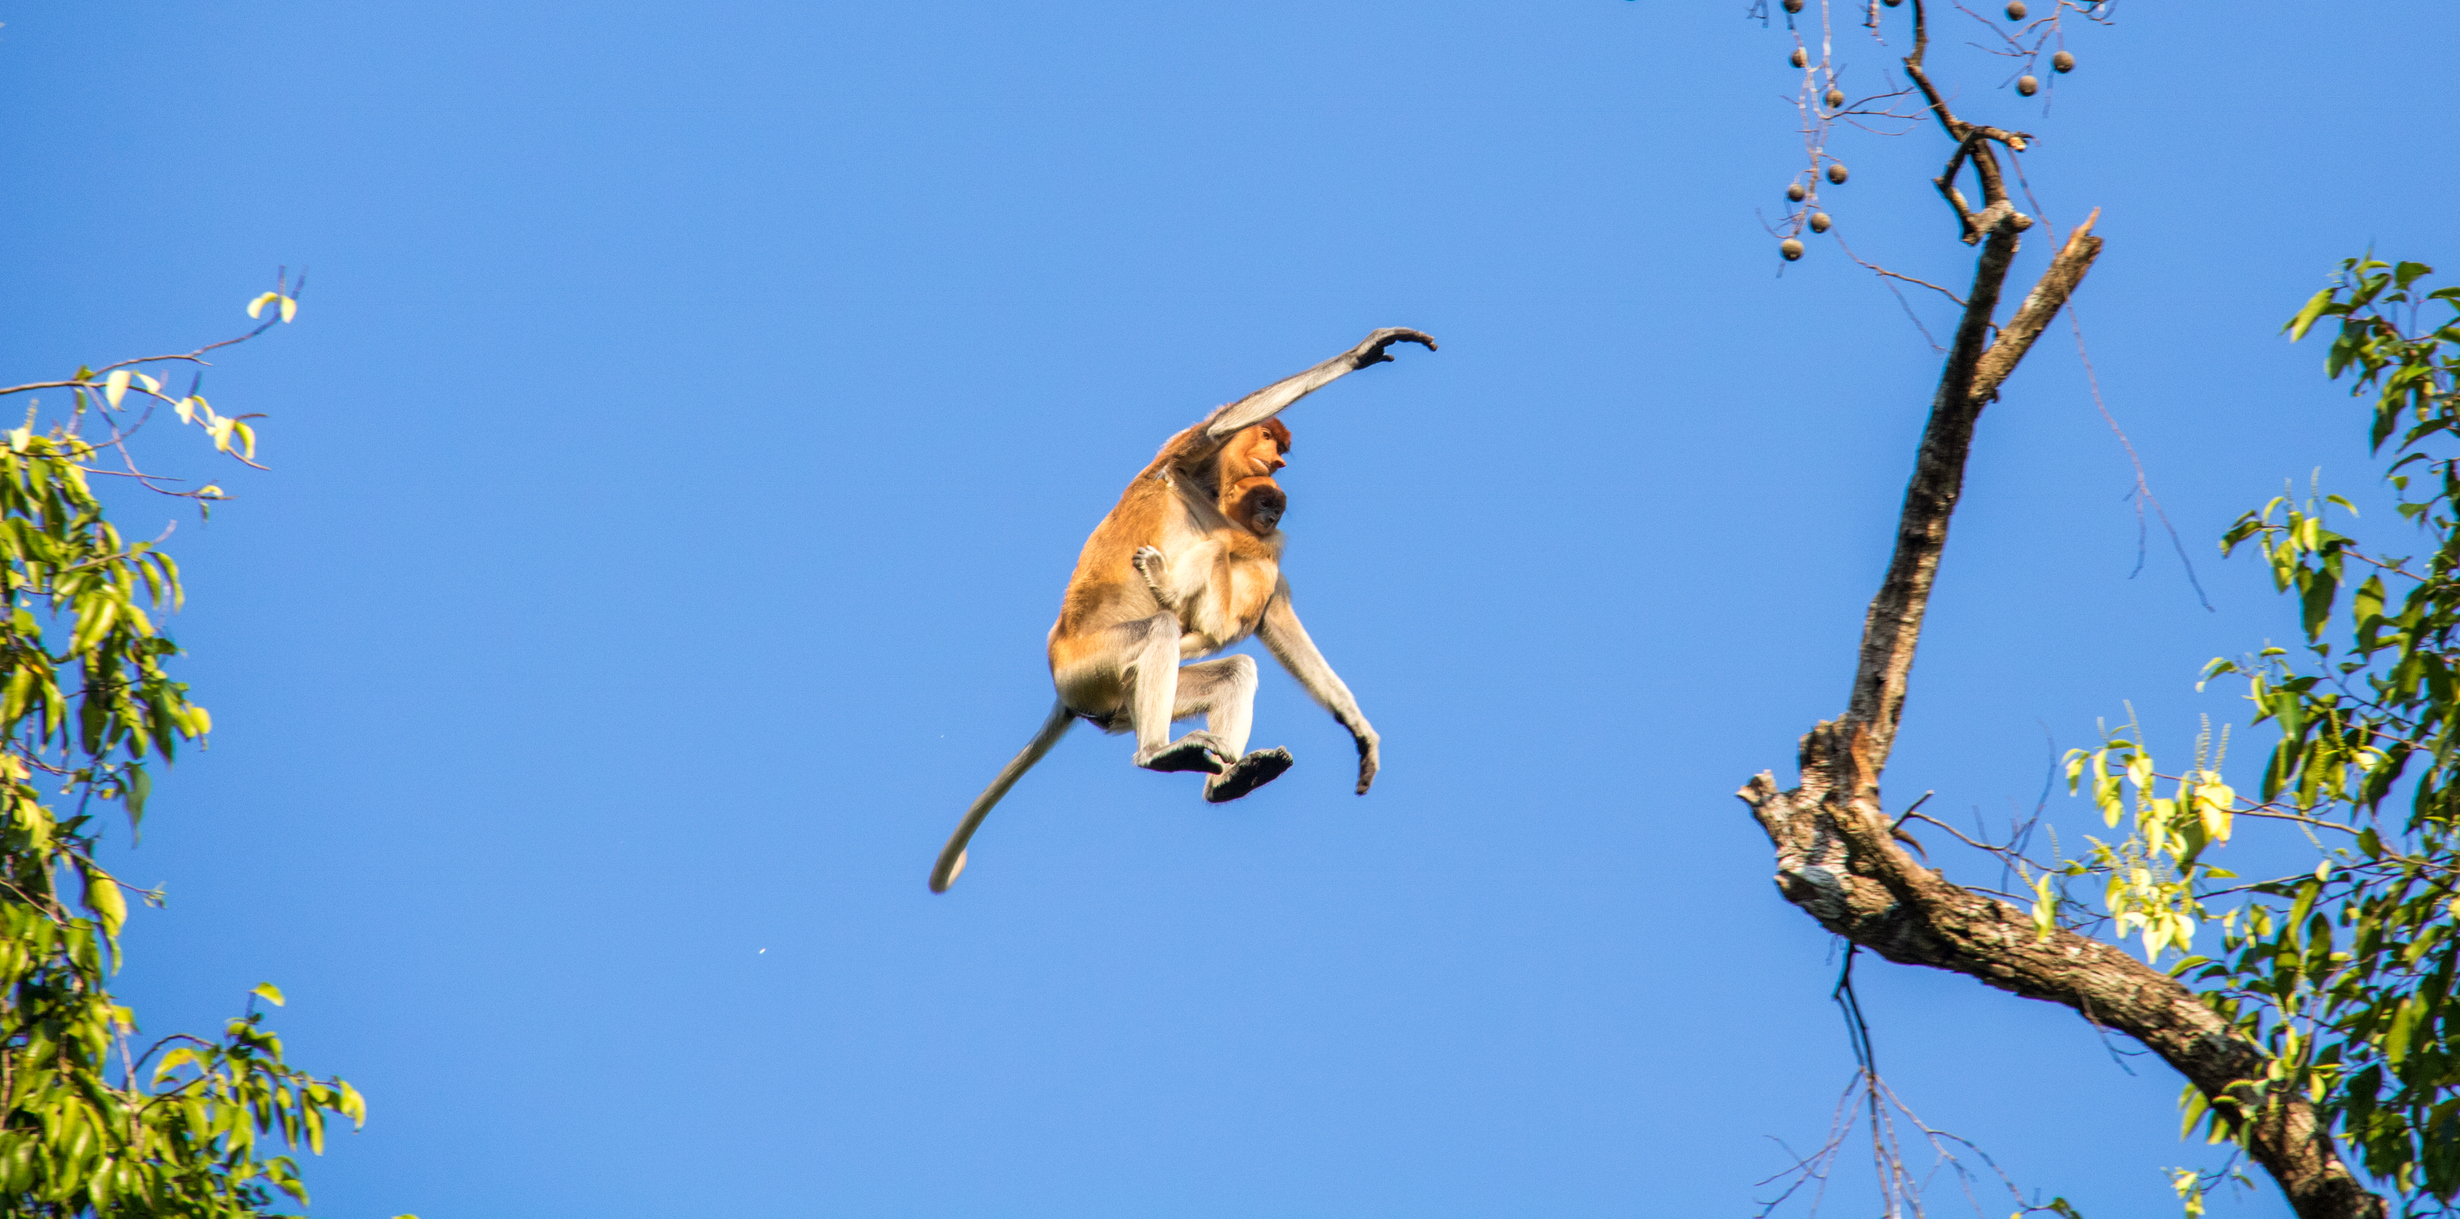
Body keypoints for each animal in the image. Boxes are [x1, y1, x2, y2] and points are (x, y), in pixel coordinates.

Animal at [924, 329, 1436, 889]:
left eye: (1280, 452)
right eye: (1269, 441)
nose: (1278, 465)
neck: (1215, 491)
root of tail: (1063, 686)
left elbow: (1273, 621)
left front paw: (1361, 732)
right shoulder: (1189, 454)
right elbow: (1220, 427)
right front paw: (1365, 352)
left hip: (1115, 701)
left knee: (1236, 669)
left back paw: (1231, 777)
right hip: (1089, 666)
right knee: (1164, 625)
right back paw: (1158, 752)